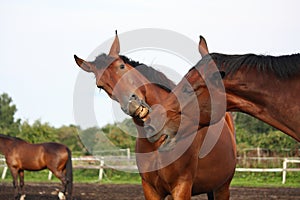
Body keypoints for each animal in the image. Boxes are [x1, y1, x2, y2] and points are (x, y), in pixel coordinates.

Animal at [73, 32, 237, 199]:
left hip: (222, 188)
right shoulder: (151, 189)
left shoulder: (181, 186)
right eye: (100, 85)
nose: (133, 105)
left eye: (121, 66)